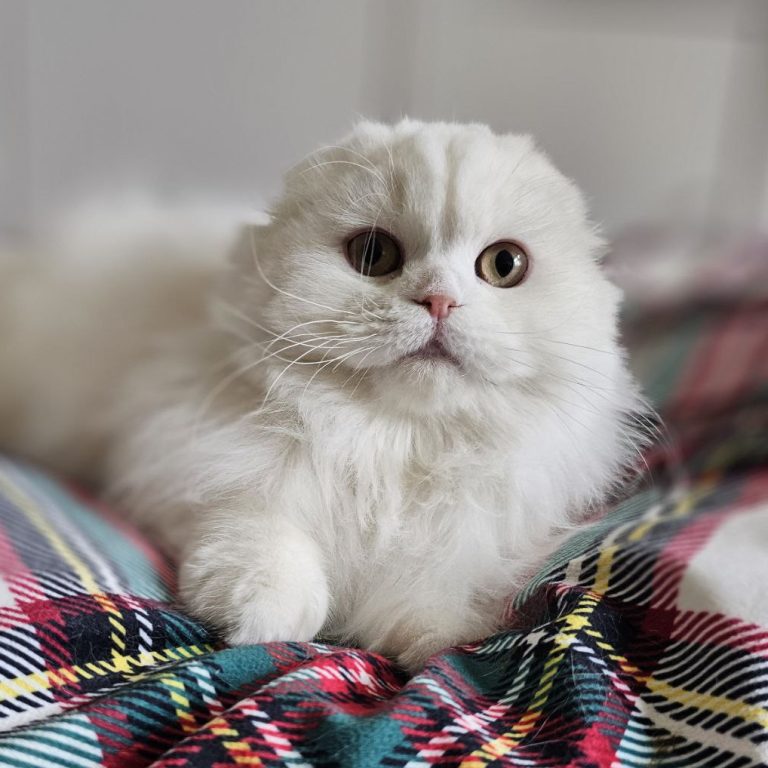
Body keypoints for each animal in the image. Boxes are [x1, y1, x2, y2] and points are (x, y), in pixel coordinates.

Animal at [0, 121, 644, 672]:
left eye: (504, 265)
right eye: (374, 256)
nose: (438, 300)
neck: (391, 443)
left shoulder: (460, 538)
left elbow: (432, 599)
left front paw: (436, 642)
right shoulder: (198, 465)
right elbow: (262, 541)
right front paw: (264, 617)